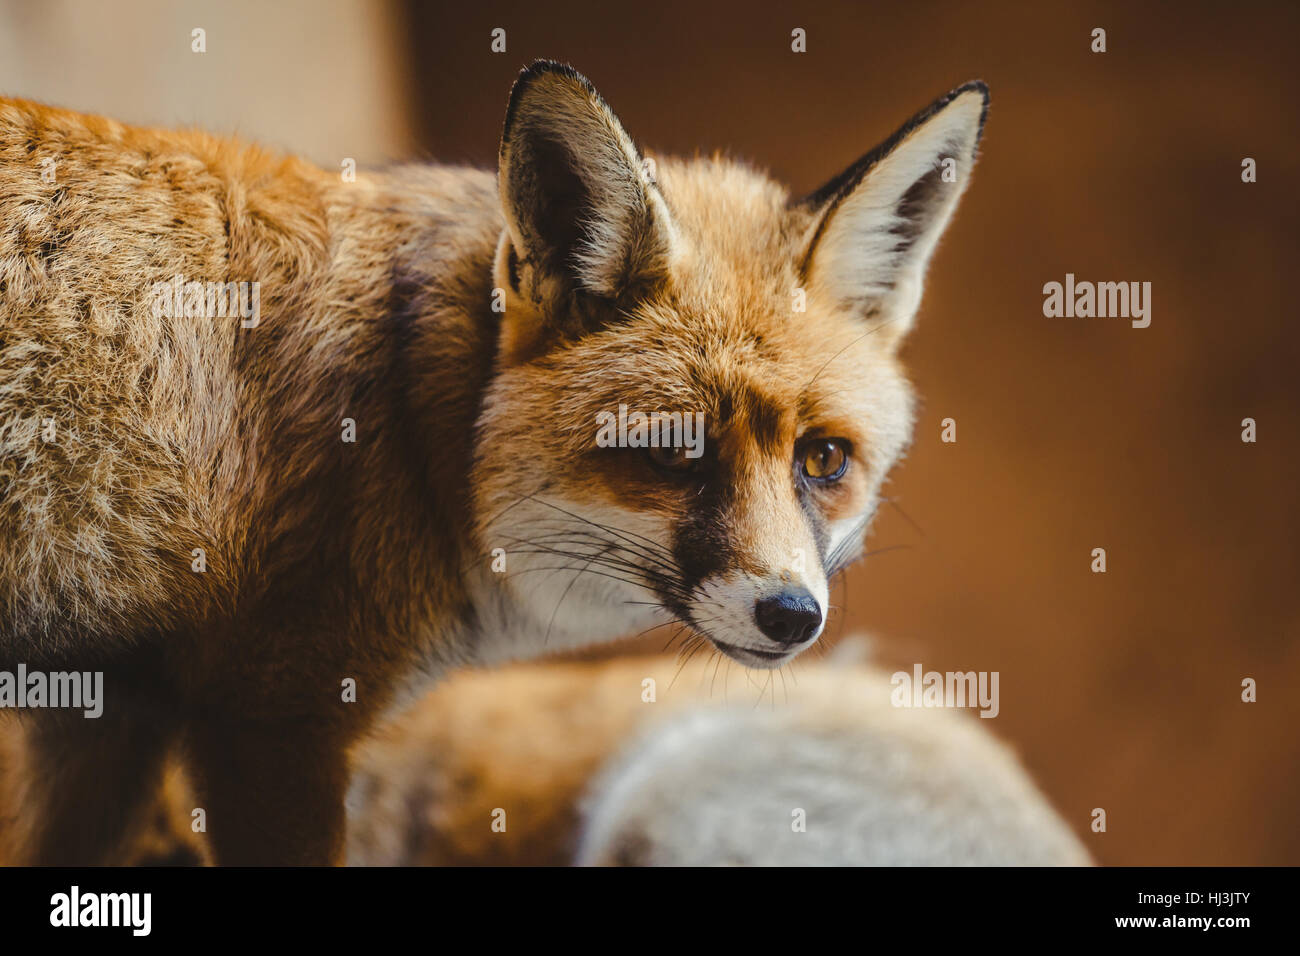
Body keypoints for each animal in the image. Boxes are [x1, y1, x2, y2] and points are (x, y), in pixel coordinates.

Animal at [0, 61, 989, 865]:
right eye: (675, 451)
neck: (412, 420)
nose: (791, 615)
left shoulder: (111, 713)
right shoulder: (273, 721)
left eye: (824, 459)